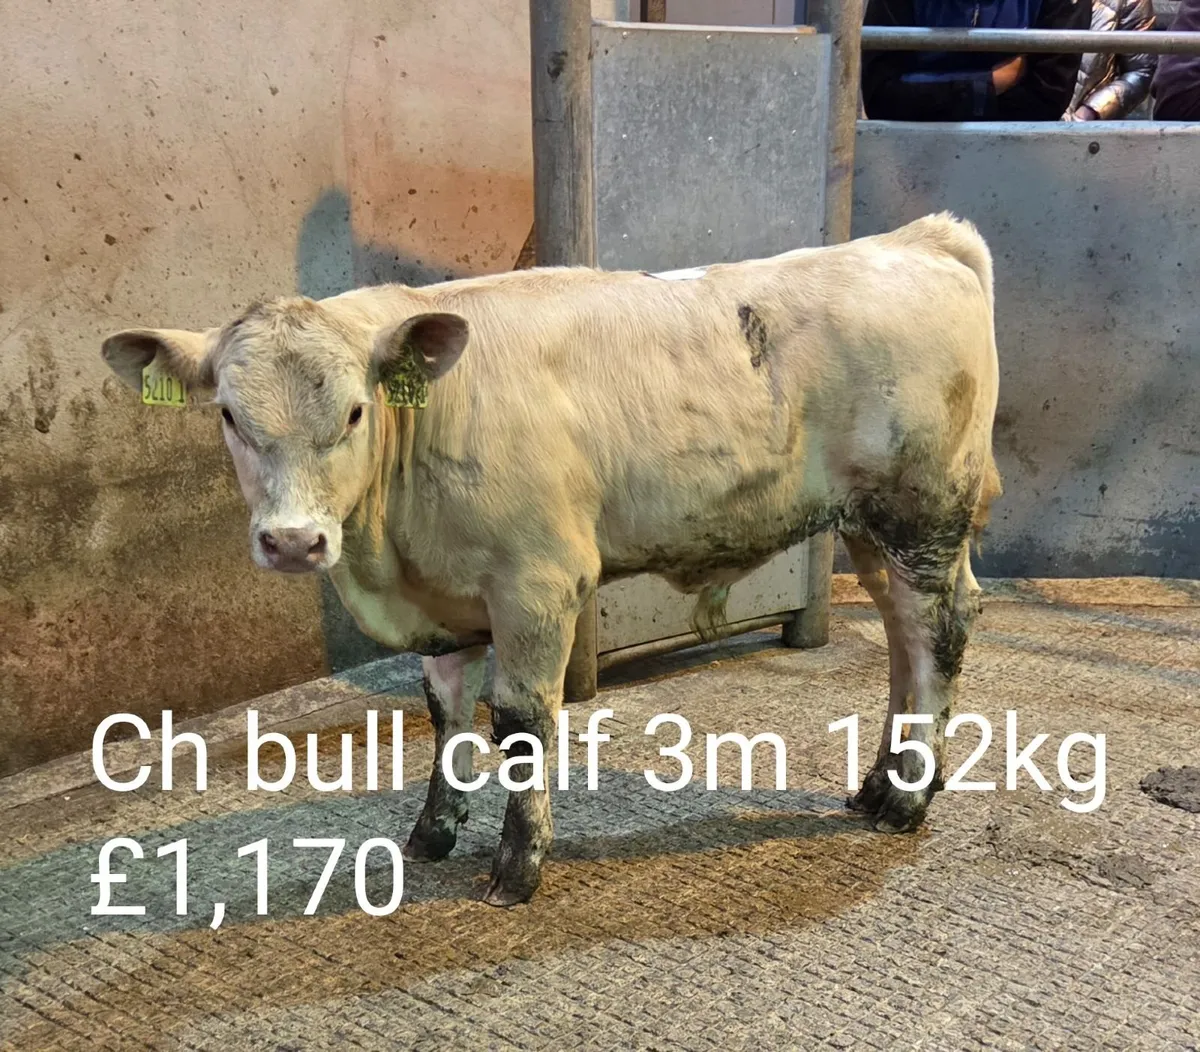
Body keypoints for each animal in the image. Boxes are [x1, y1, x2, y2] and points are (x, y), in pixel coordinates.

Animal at [100, 212, 1001, 907]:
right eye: (228, 415)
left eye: (355, 412)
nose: (292, 541)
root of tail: (917, 240)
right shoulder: (446, 596)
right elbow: (446, 711)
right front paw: (432, 831)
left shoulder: (537, 583)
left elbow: (520, 722)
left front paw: (518, 865)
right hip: (873, 528)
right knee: (902, 638)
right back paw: (883, 784)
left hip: (923, 510)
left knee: (939, 633)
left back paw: (907, 800)